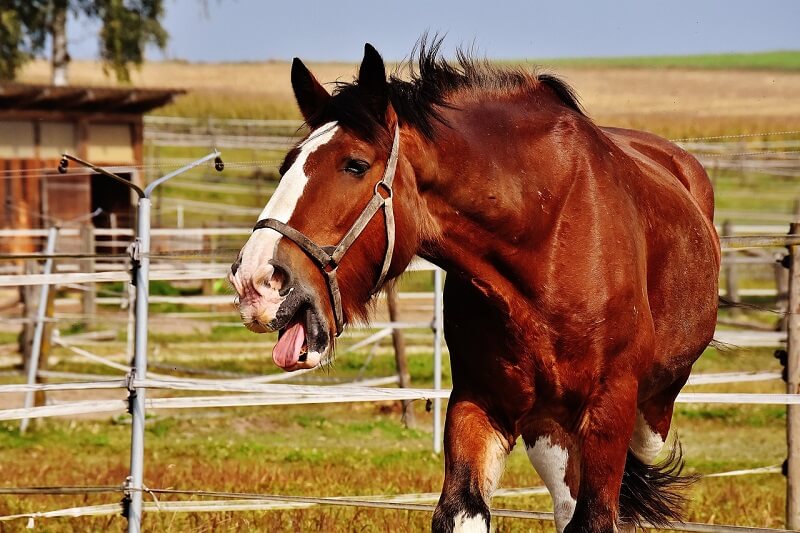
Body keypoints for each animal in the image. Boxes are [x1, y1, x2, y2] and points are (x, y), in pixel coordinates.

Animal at [228, 40, 720, 533]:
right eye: (286, 165)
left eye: (355, 165)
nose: (255, 281)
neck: (547, 235)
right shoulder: (478, 403)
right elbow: (463, 510)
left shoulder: (609, 410)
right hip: (549, 429)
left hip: (646, 417)